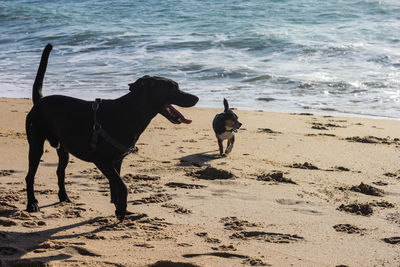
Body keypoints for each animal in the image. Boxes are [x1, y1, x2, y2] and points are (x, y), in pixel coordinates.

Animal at [23, 44, 198, 221]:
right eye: (172, 88)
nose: (196, 98)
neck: (130, 111)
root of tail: (39, 101)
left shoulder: (116, 160)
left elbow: (116, 186)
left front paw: (120, 208)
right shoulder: (102, 160)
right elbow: (122, 186)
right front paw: (121, 211)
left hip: (64, 147)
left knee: (60, 171)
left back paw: (64, 196)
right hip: (36, 145)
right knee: (30, 176)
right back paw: (32, 204)